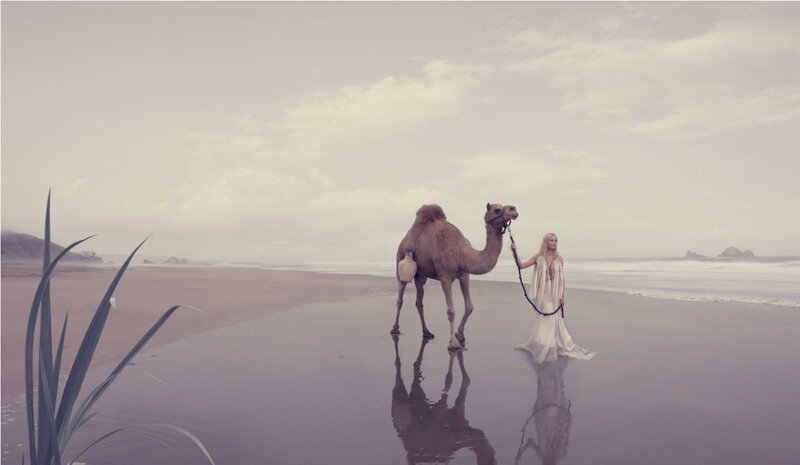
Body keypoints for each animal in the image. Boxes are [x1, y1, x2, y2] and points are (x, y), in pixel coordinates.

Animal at [391, 203, 518, 350]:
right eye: (497, 209)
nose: (513, 209)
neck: (461, 253)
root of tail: (404, 240)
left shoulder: (464, 275)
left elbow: (469, 307)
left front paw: (460, 335)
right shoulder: (445, 277)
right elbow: (451, 311)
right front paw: (453, 343)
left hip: (421, 275)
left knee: (419, 301)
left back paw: (426, 332)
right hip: (400, 260)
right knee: (400, 298)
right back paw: (395, 329)